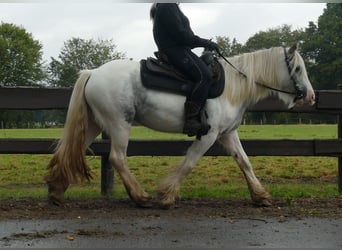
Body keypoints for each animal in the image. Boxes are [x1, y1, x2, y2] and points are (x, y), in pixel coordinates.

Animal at [44, 44, 316, 208]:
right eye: (297, 68)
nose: (311, 96)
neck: (231, 86)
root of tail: (93, 72)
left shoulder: (228, 134)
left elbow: (244, 162)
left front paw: (260, 196)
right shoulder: (209, 135)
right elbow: (189, 163)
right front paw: (166, 196)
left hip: (93, 123)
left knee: (72, 151)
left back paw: (57, 190)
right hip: (119, 124)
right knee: (117, 158)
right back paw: (140, 196)